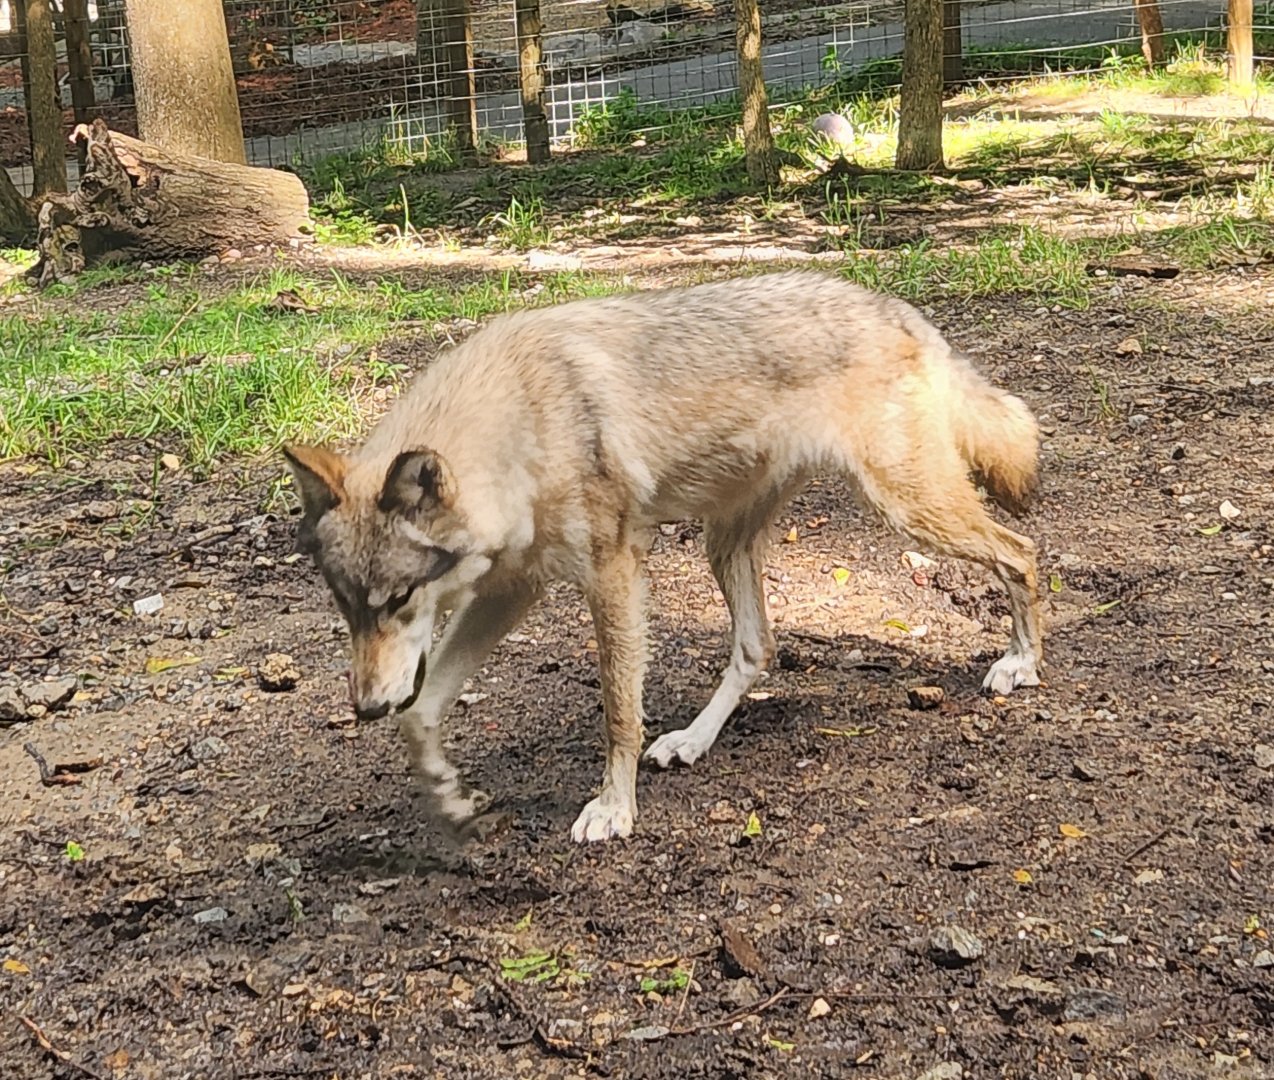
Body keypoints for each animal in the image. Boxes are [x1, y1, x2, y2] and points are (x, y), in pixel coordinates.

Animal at [283, 270, 1042, 844]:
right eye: (347, 609)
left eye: (398, 601)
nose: (363, 709)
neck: (519, 422)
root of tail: (898, 309)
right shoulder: (509, 592)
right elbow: (421, 715)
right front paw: (448, 798)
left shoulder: (614, 574)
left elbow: (619, 711)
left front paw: (613, 809)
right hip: (724, 545)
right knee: (757, 648)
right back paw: (692, 742)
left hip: (909, 511)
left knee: (1023, 552)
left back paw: (1021, 665)